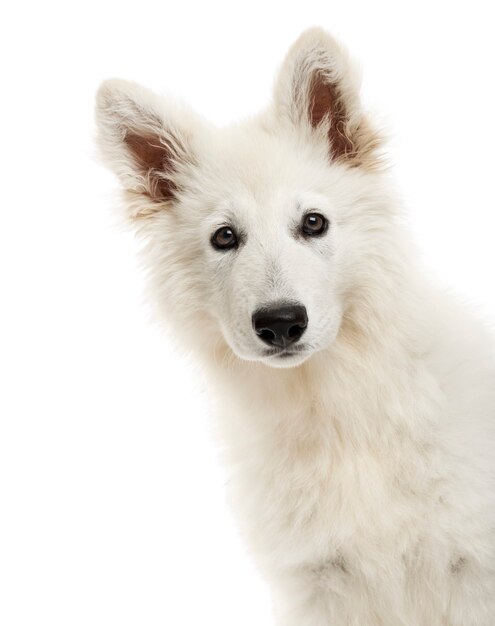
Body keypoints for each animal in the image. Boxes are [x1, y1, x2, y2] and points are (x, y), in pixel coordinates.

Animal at [96, 26, 495, 620]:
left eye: (313, 223)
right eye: (224, 237)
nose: (281, 323)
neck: (338, 406)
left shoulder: (471, 571)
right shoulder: (319, 583)